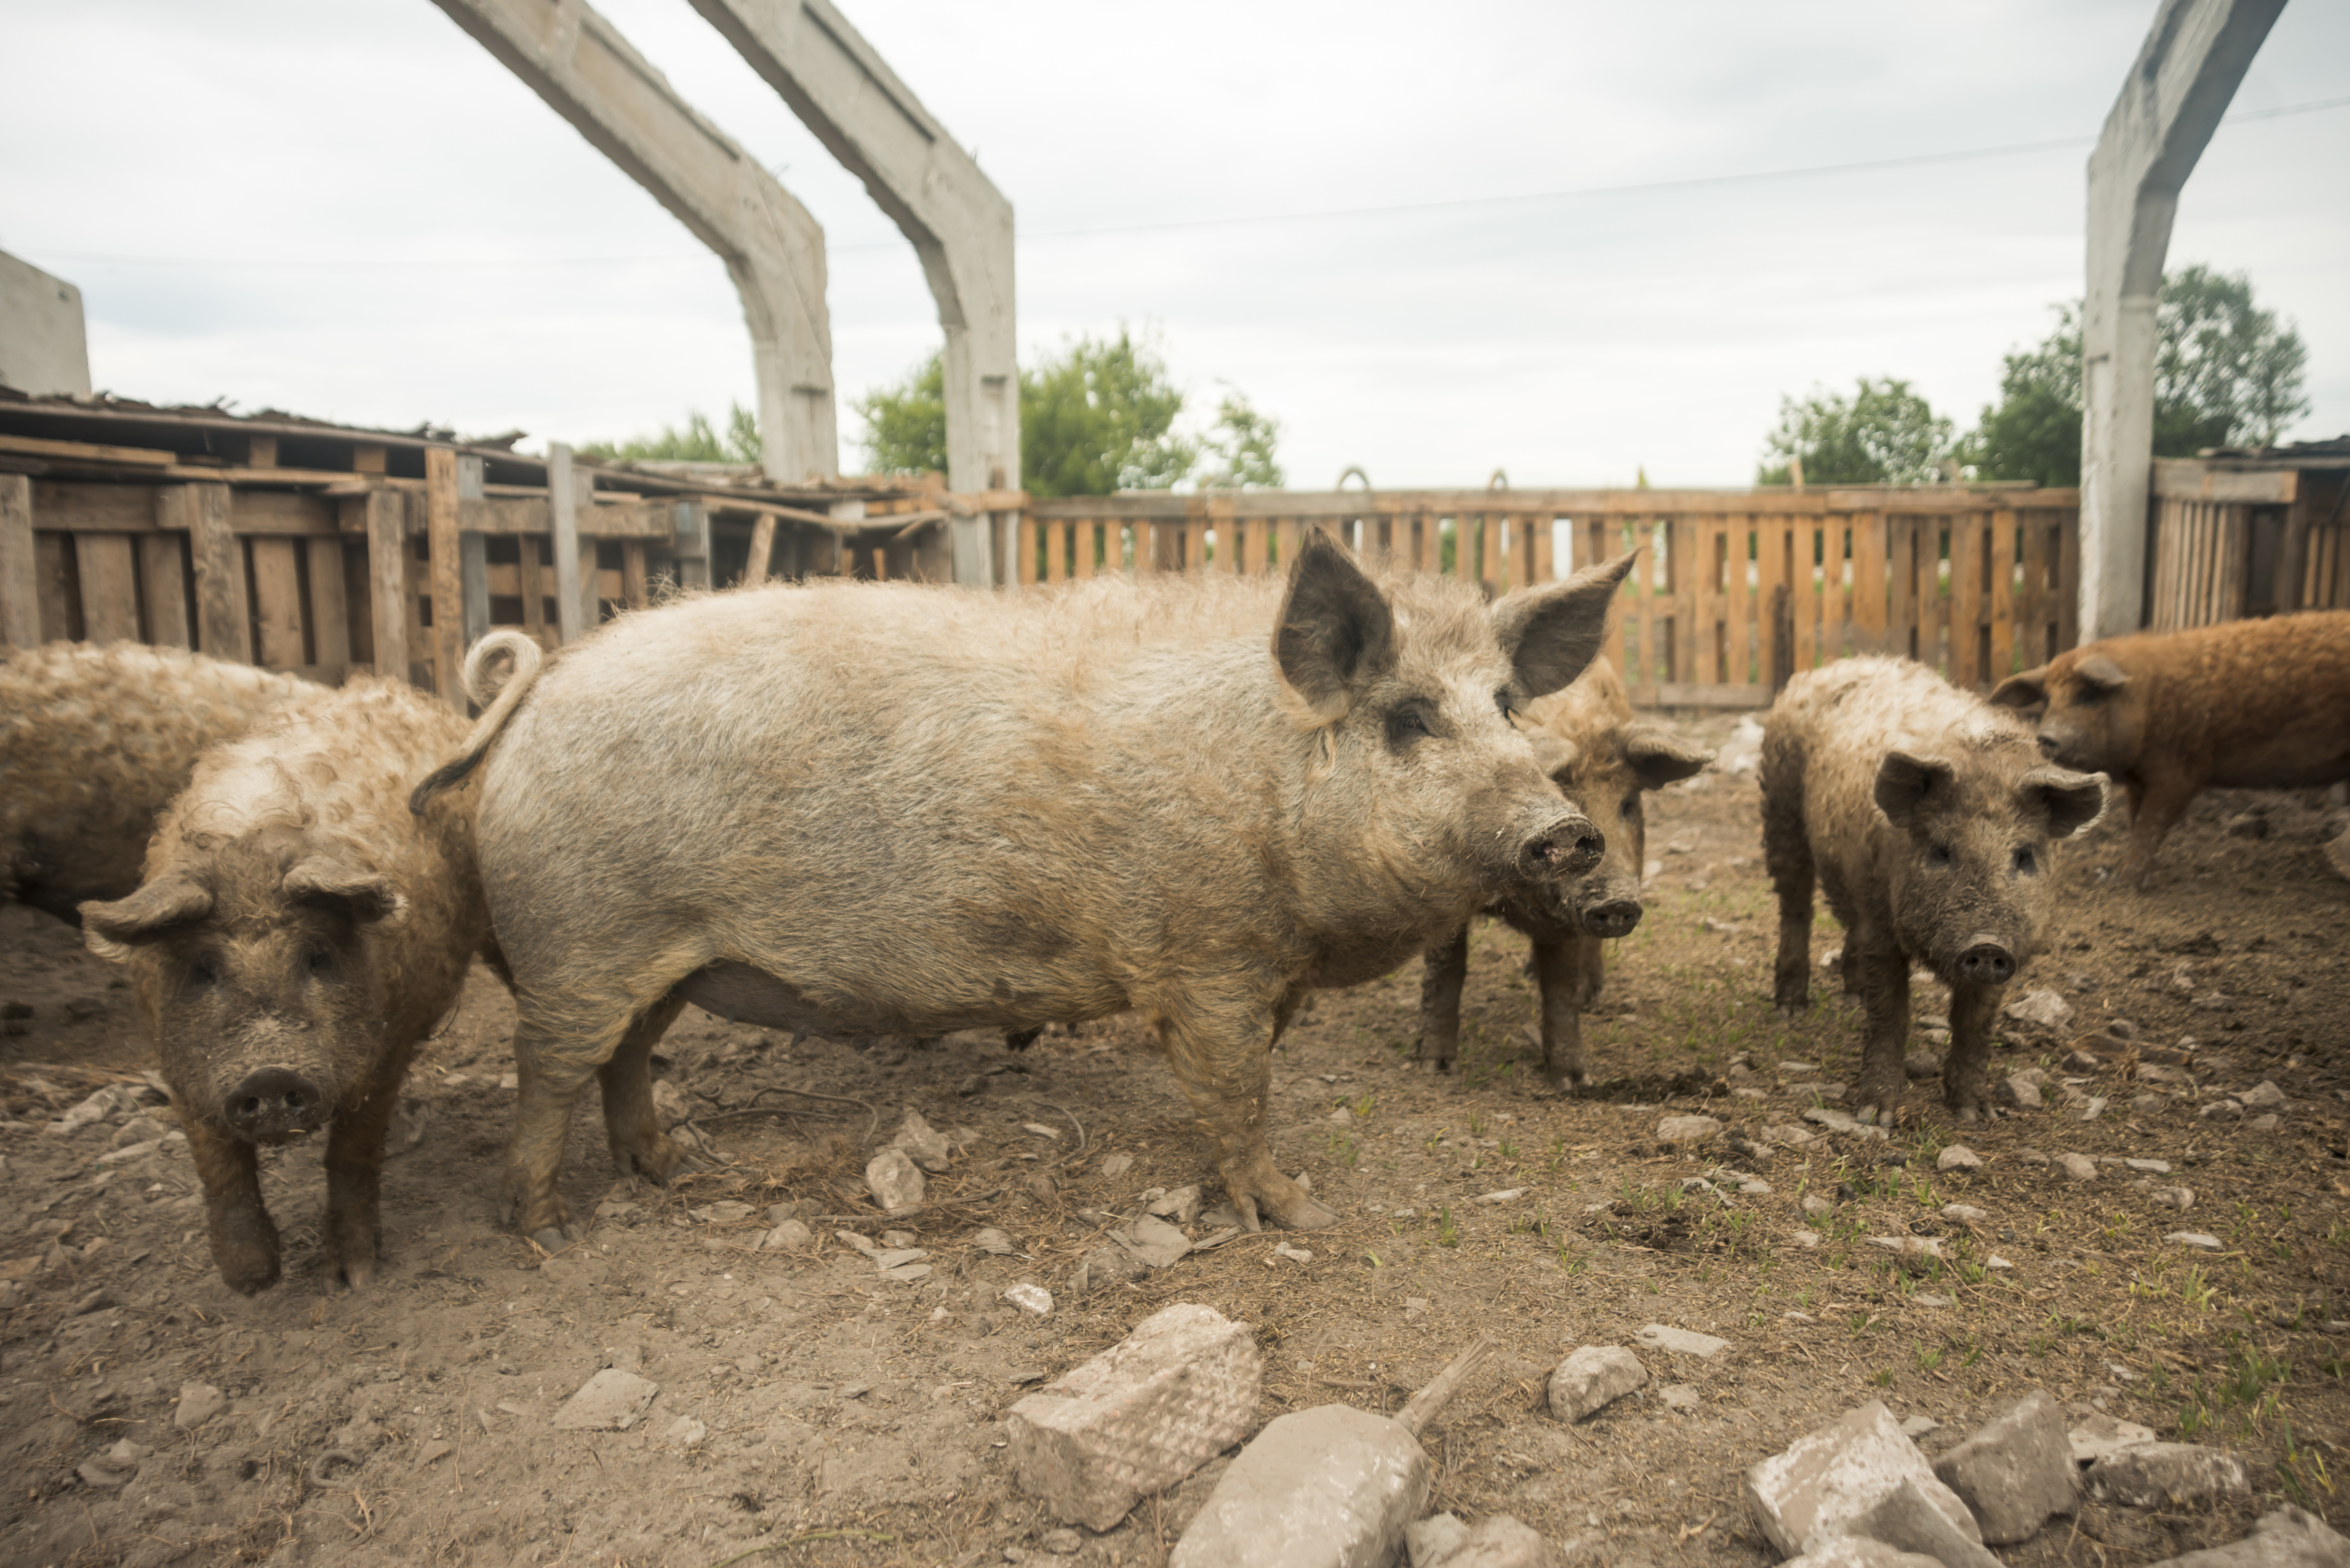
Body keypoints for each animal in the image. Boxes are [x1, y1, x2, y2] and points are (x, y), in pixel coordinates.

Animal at [77, 653, 525, 1294]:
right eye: (203, 969)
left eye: (317, 956)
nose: (268, 1073)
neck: (250, 848)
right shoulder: (175, 1057)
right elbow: (218, 1165)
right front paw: (251, 1280)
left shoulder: (387, 1045)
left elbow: (352, 1153)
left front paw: (354, 1277)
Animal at [412, 536, 1635, 1244]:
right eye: (1408, 718)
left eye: (1506, 706)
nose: (1570, 836)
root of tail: (544, 683)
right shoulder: (1203, 958)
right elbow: (1238, 1094)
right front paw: (1296, 1211)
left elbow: (1243, 1088)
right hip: (575, 941)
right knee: (549, 1069)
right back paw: (544, 1229)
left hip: (653, 955)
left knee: (623, 1055)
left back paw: (666, 1170)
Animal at [1416, 656, 1712, 1090]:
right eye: (1565, 795)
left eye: (1628, 804)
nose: (1617, 900)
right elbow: (1447, 968)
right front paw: (1435, 1068)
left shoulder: (1569, 913)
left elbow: (1560, 985)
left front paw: (1573, 1081)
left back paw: (1589, 994)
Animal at [1762, 657, 2106, 1122]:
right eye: (1942, 850)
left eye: (2024, 855)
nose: (1986, 944)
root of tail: (1829, 667)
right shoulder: (1882, 929)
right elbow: (1890, 1013)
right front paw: (1875, 1116)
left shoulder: (2011, 945)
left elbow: (1975, 1024)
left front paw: (1977, 1115)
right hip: (1780, 804)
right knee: (1795, 902)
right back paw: (1790, 1008)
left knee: (1845, 922)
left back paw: (1852, 997)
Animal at [1990, 612, 2350, 888]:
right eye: (2047, 699)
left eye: (2087, 695)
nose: (2046, 737)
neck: (2147, 703)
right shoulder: (2139, 781)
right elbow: (2136, 821)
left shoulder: (2180, 773)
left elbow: (2150, 824)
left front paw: (2124, 882)